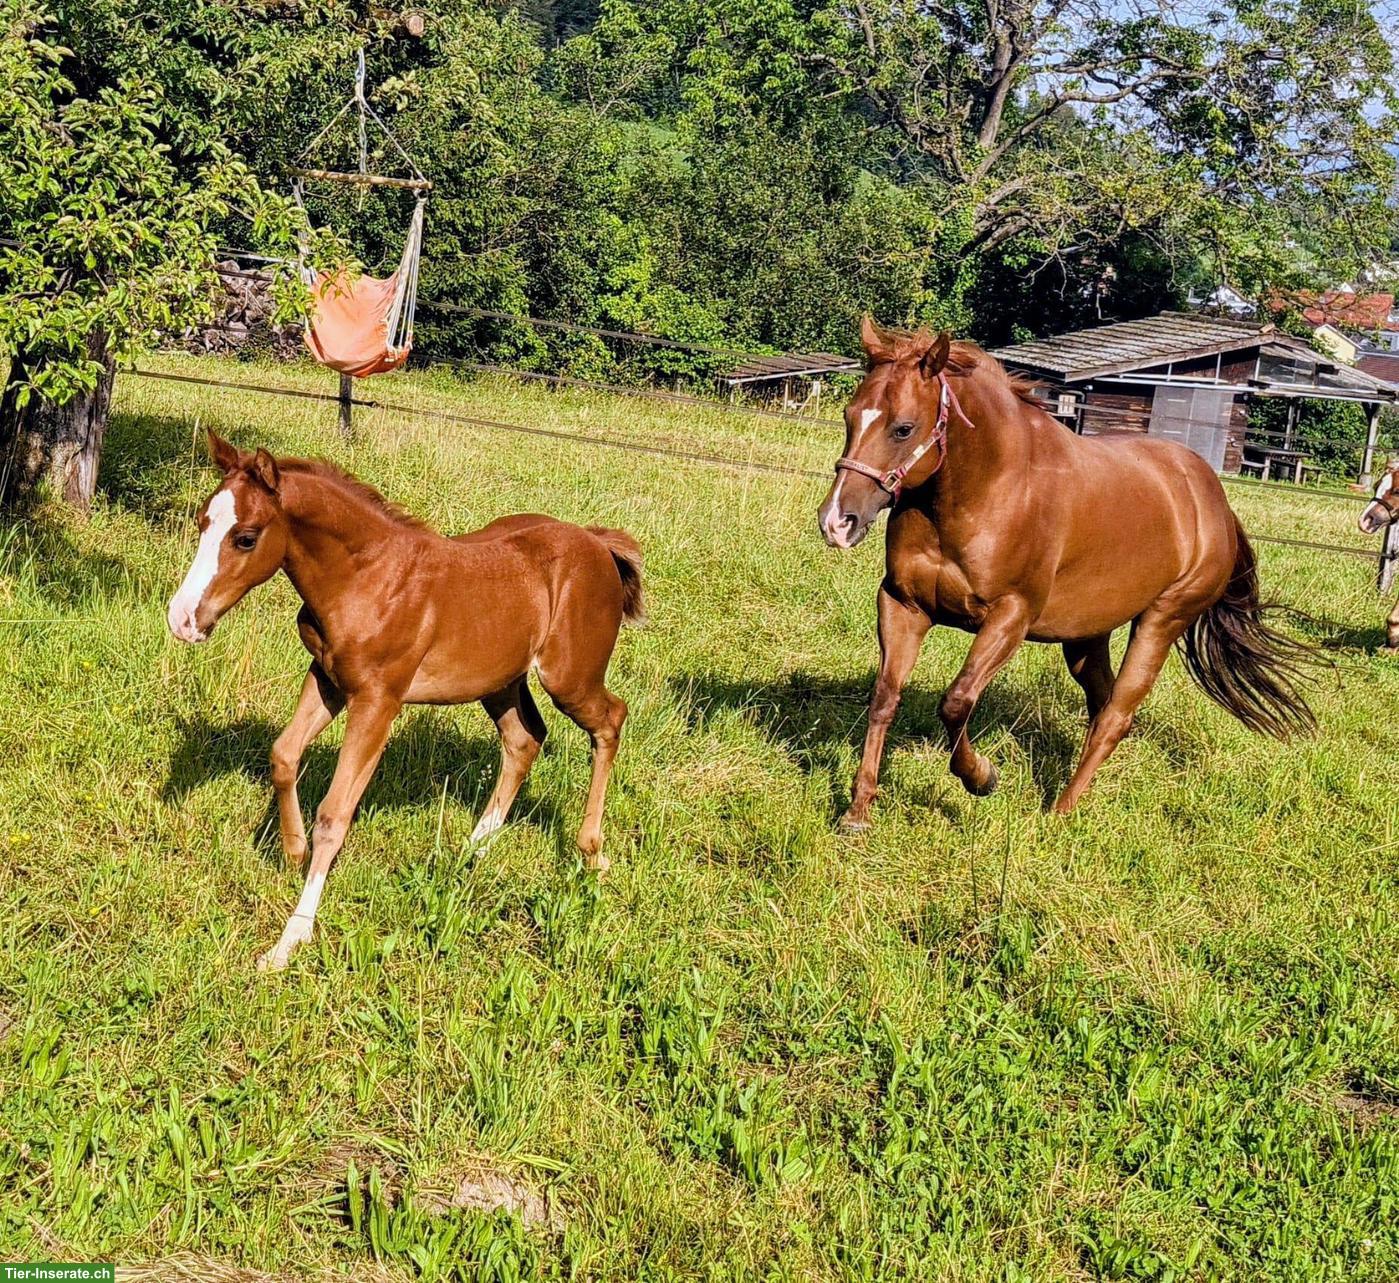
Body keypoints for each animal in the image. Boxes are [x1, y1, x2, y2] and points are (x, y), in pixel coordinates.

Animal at [168, 430, 642, 971]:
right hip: (499, 680)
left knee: (610, 720)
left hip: (569, 677)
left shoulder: (379, 700)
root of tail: (598, 543)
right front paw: (292, 849)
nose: (182, 619)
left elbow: (334, 814)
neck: (366, 579)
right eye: (202, 521)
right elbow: (283, 755)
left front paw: (290, 939)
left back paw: (592, 852)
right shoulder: (327, 679)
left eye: (245, 537)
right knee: (525, 739)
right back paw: (474, 847)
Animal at [817, 316, 1318, 823]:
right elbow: (885, 696)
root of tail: (1215, 503)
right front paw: (857, 811)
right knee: (1102, 702)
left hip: (1162, 620)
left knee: (1116, 714)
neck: (987, 489)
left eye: (903, 429)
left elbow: (957, 701)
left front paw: (982, 777)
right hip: (1086, 634)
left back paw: (1061, 809)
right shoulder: (902, 603)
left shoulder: (1010, 617)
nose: (837, 521)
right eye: (848, 415)